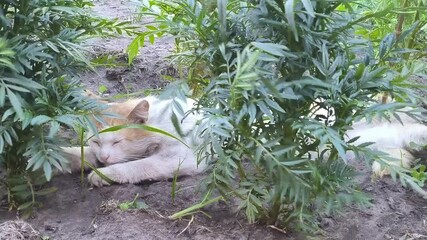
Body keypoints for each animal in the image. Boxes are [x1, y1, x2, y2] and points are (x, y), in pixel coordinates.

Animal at [61, 96, 206, 188]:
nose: (104, 157)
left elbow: (139, 165)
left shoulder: (180, 157)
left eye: (117, 142)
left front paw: (102, 174)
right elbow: (78, 153)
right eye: (96, 142)